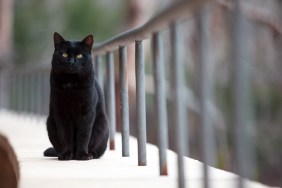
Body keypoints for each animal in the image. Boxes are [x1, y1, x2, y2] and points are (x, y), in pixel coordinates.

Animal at [43, 32, 109, 160]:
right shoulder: (61, 112)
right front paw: (66, 154)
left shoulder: (87, 112)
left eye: (79, 55)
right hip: (50, 123)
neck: (71, 84)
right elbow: (66, 135)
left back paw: (90, 154)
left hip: (102, 124)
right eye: (64, 54)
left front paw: (83, 155)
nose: (71, 62)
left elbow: (83, 135)